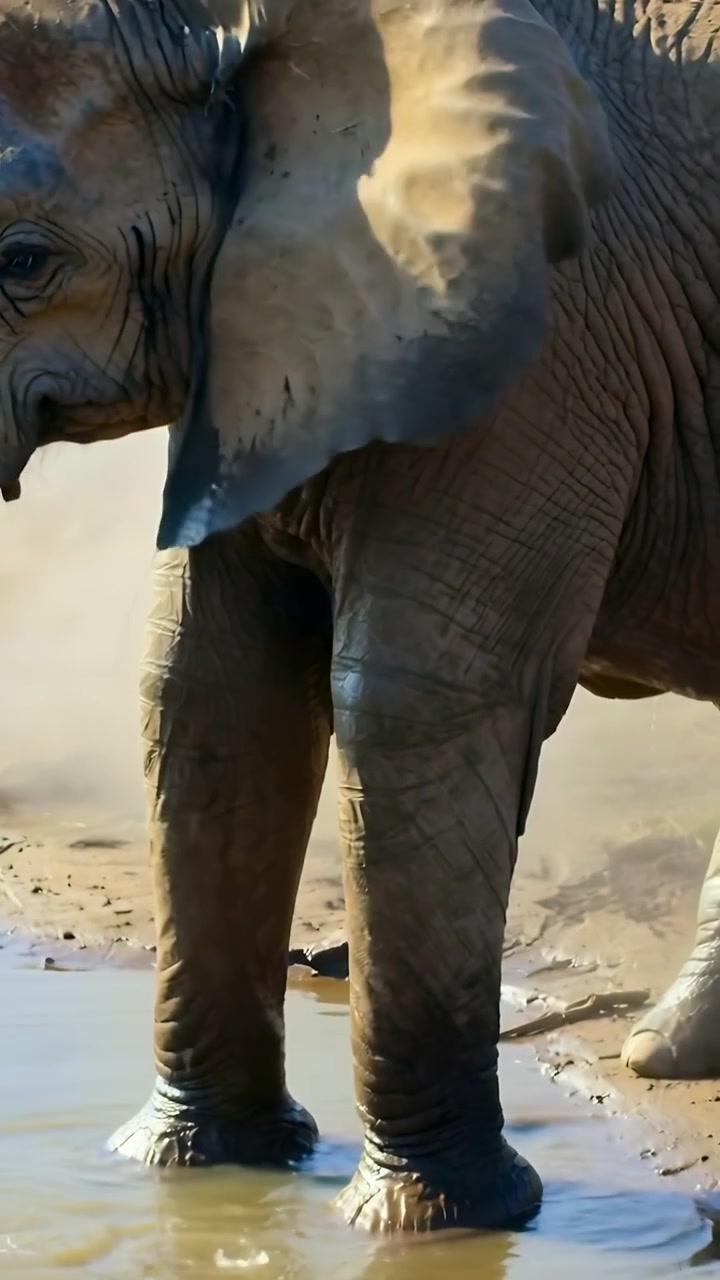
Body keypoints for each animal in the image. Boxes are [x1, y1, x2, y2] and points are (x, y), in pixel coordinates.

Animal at [0, 0, 720, 1237]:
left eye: (23, 264)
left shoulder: (535, 330)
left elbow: (409, 698)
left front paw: (441, 1221)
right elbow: (208, 690)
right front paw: (193, 1167)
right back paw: (668, 1052)